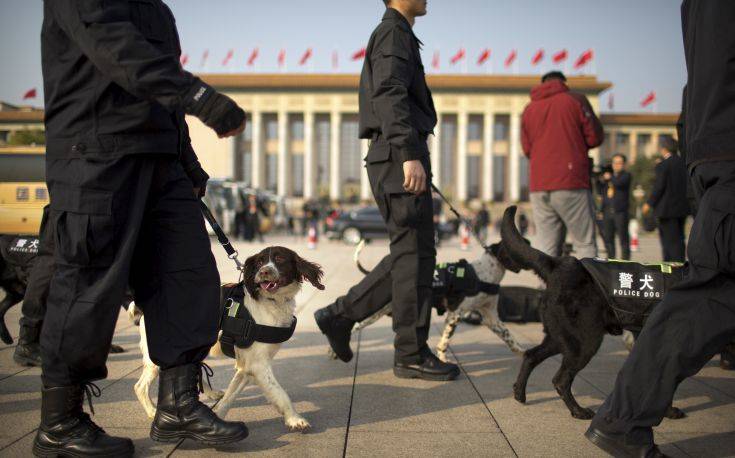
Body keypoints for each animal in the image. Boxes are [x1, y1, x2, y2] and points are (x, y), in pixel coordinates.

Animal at [134, 245, 324, 432]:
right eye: (260, 262)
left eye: (280, 259)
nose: (263, 272)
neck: (271, 302)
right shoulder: (258, 365)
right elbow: (279, 392)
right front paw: (295, 419)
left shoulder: (247, 367)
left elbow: (230, 397)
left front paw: (216, 420)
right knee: (140, 386)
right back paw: (153, 412)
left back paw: (210, 394)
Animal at [500, 206, 684, 420]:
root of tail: (560, 264)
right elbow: (665, 381)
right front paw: (667, 410)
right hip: (585, 341)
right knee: (560, 379)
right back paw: (578, 411)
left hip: (562, 337)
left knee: (531, 355)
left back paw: (520, 393)